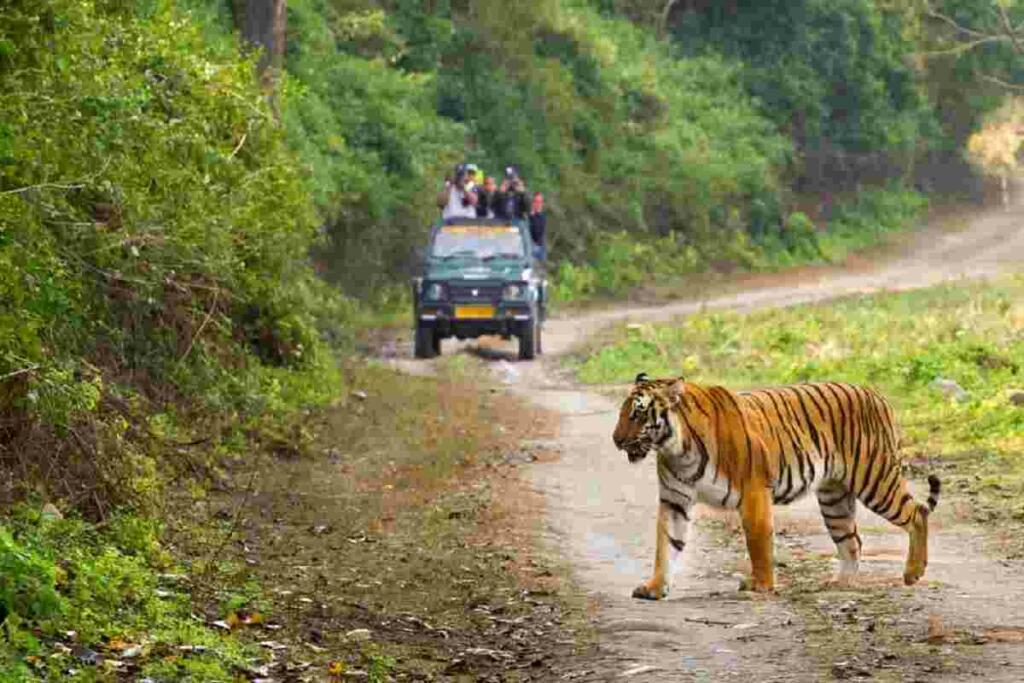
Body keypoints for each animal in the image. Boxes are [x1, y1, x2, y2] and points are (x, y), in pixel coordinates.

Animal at [610, 370, 937, 602]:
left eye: (638, 413)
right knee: (852, 540)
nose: (616, 440)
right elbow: (666, 545)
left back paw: (912, 573)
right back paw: (840, 583)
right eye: (623, 412)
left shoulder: (754, 490)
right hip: (834, 499)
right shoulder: (674, 501)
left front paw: (761, 585)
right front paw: (654, 588)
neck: (676, 448)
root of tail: (875, 393)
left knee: (917, 514)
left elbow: (758, 542)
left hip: (875, 479)